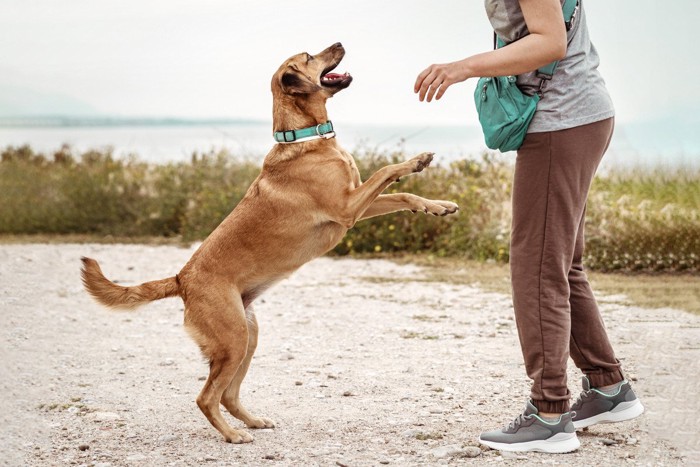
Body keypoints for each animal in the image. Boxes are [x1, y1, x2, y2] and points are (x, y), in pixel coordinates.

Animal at [82, 42, 460, 444]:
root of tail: (181, 279)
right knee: (206, 397)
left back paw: (252, 421)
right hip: (233, 340)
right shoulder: (347, 208)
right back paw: (233, 435)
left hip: (248, 336)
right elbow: (387, 172)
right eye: (309, 56)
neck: (307, 136)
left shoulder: (357, 204)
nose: (340, 43)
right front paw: (416, 161)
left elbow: (403, 194)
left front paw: (438, 206)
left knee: (228, 394)